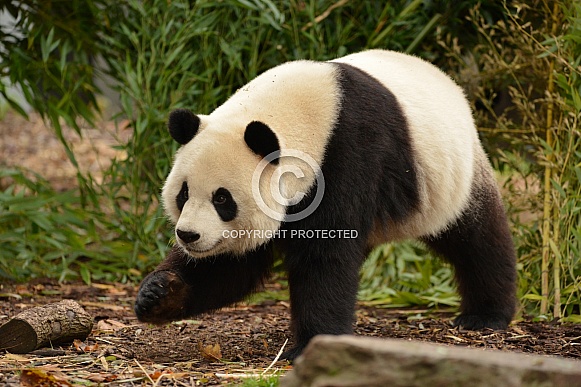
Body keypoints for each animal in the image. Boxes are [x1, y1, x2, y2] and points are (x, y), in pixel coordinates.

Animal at [136, 50, 516, 362]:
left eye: (222, 198)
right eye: (183, 193)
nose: (188, 235)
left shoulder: (348, 155)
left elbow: (325, 256)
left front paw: (310, 344)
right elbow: (231, 265)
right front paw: (159, 294)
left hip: (450, 178)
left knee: (477, 238)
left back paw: (485, 315)